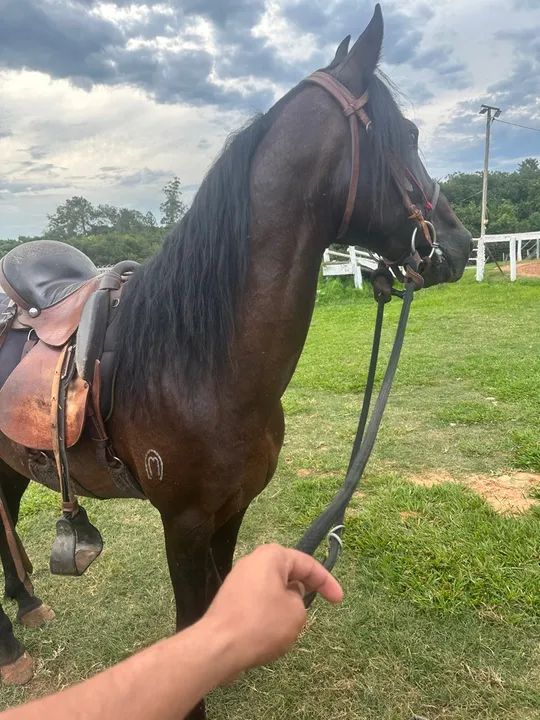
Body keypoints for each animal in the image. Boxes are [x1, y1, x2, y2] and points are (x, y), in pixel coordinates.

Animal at [0, 6, 472, 717]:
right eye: (410, 134)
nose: (461, 243)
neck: (204, 367)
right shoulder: (184, 522)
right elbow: (189, 620)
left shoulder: (233, 508)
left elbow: (220, 593)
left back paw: (27, 607)